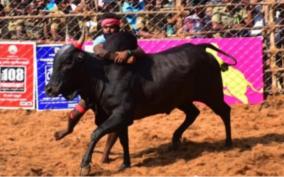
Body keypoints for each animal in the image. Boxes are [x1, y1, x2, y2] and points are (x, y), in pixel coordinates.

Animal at [45, 31, 235, 175]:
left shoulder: (120, 114)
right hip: (183, 100)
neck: (102, 75)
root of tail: (200, 48)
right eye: (54, 61)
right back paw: (175, 139)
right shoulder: (120, 118)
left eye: (68, 62)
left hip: (211, 94)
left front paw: (85, 165)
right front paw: (125, 164)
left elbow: (96, 134)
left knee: (224, 111)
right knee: (193, 113)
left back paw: (228, 143)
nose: (49, 89)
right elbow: (123, 140)